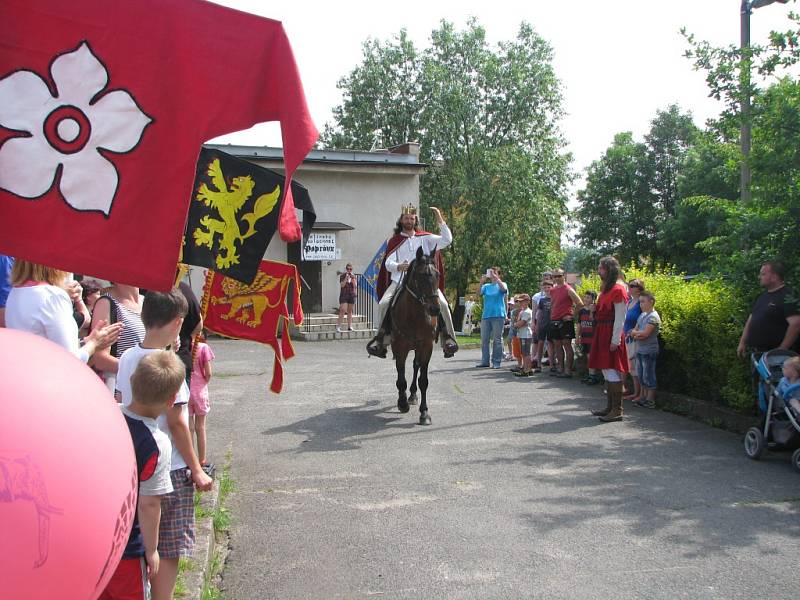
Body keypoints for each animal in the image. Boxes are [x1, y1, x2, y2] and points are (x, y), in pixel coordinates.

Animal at [390, 245, 440, 426]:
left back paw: (412, 395)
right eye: (421, 275)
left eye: (437, 275)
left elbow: (423, 380)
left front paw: (424, 413)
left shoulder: (426, 346)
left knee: (415, 366)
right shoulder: (399, 347)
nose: (435, 309)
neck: (415, 315)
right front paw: (402, 403)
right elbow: (400, 377)